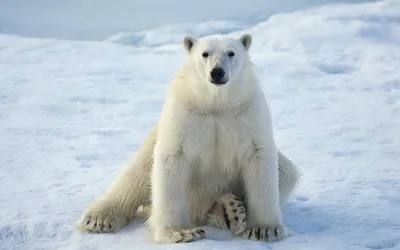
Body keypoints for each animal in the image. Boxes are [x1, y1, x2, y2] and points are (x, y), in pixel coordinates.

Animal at [76, 33, 300, 244]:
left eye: (231, 53)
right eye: (205, 53)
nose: (217, 72)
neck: (215, 104)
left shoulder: (248, 112)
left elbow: (259, 157)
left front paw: (264, 229)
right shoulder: (184, 113)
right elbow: (172, 159)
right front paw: (181, 232)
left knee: (286, 172)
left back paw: (230, 210)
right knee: (136, 173)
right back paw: (98, 218)